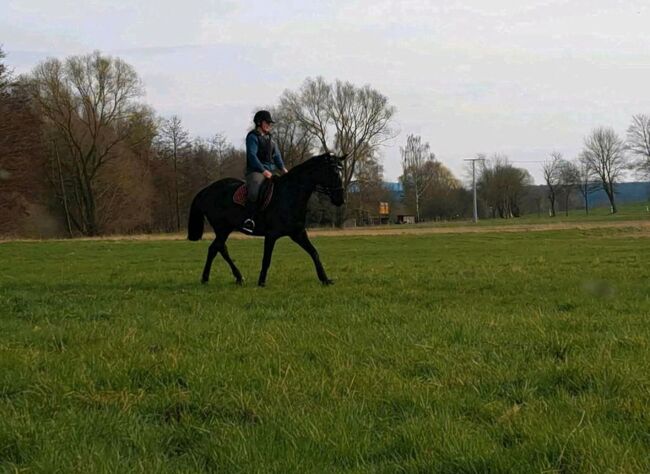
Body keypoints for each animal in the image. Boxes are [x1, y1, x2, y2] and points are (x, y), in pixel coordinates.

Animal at [186, 153, 344, 286]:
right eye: (335, 173)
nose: (340, 199)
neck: (290, 195)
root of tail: (206, 190)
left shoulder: (298, 233)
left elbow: (314, 253)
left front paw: (325, 279)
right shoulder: (271, 235)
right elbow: (266, 259)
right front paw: (261, 281)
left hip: (225, 229)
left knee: (218, 248)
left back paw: (232, 277)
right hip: (222, 228)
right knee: (216, 248)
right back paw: (210, 278)